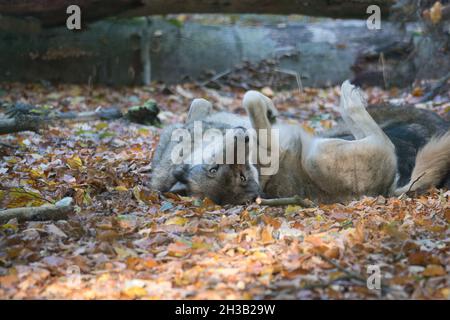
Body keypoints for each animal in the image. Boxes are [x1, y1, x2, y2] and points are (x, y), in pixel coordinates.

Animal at [151, 81, 450, 204]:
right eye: (241, 177)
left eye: (214, 168)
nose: (243, 135)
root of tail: (388, 191)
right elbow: (250, 99)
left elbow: (204, 101)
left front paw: (271, 108)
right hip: (320, 155)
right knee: (381, 138)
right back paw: (349, 95)